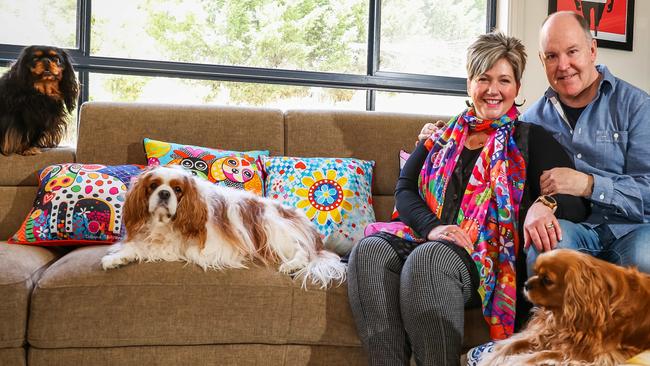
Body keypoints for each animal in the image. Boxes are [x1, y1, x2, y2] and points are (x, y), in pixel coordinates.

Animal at [101, 167, 344, 288]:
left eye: (178, 190)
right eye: (153, 185)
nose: (164, 193)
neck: (166, 224)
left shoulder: (213, 247)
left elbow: (179, 250)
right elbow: (138, 246)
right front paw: (118, 258)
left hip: (272, 226)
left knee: (303, 252)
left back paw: (292, 265)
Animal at [476, 249, 648, 366]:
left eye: (546, 280)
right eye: (535, 272)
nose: (525, 284)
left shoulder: (590, 354)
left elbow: (539, 355)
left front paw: (516, 361)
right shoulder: (548, 333)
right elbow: (510, 345)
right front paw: (491, 359)